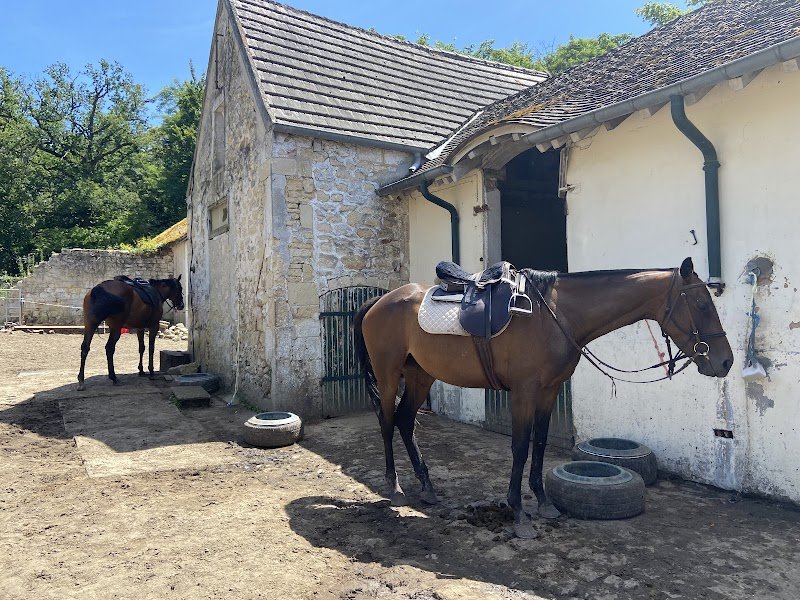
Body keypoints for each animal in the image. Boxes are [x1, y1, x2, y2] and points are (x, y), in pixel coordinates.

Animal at [353, 257, 733, 538]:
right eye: (701, 303)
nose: (725, 361)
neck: (557, 315)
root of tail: (378, 301)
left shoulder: (549, 391)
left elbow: (540, 444)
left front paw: (543, 502)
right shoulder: (524, 391)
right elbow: (521, 447)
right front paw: (518, 512)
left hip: (421, 375)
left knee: (405, 422)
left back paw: (427, 487)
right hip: (389, 375)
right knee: (387, 422)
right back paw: (394, 486)